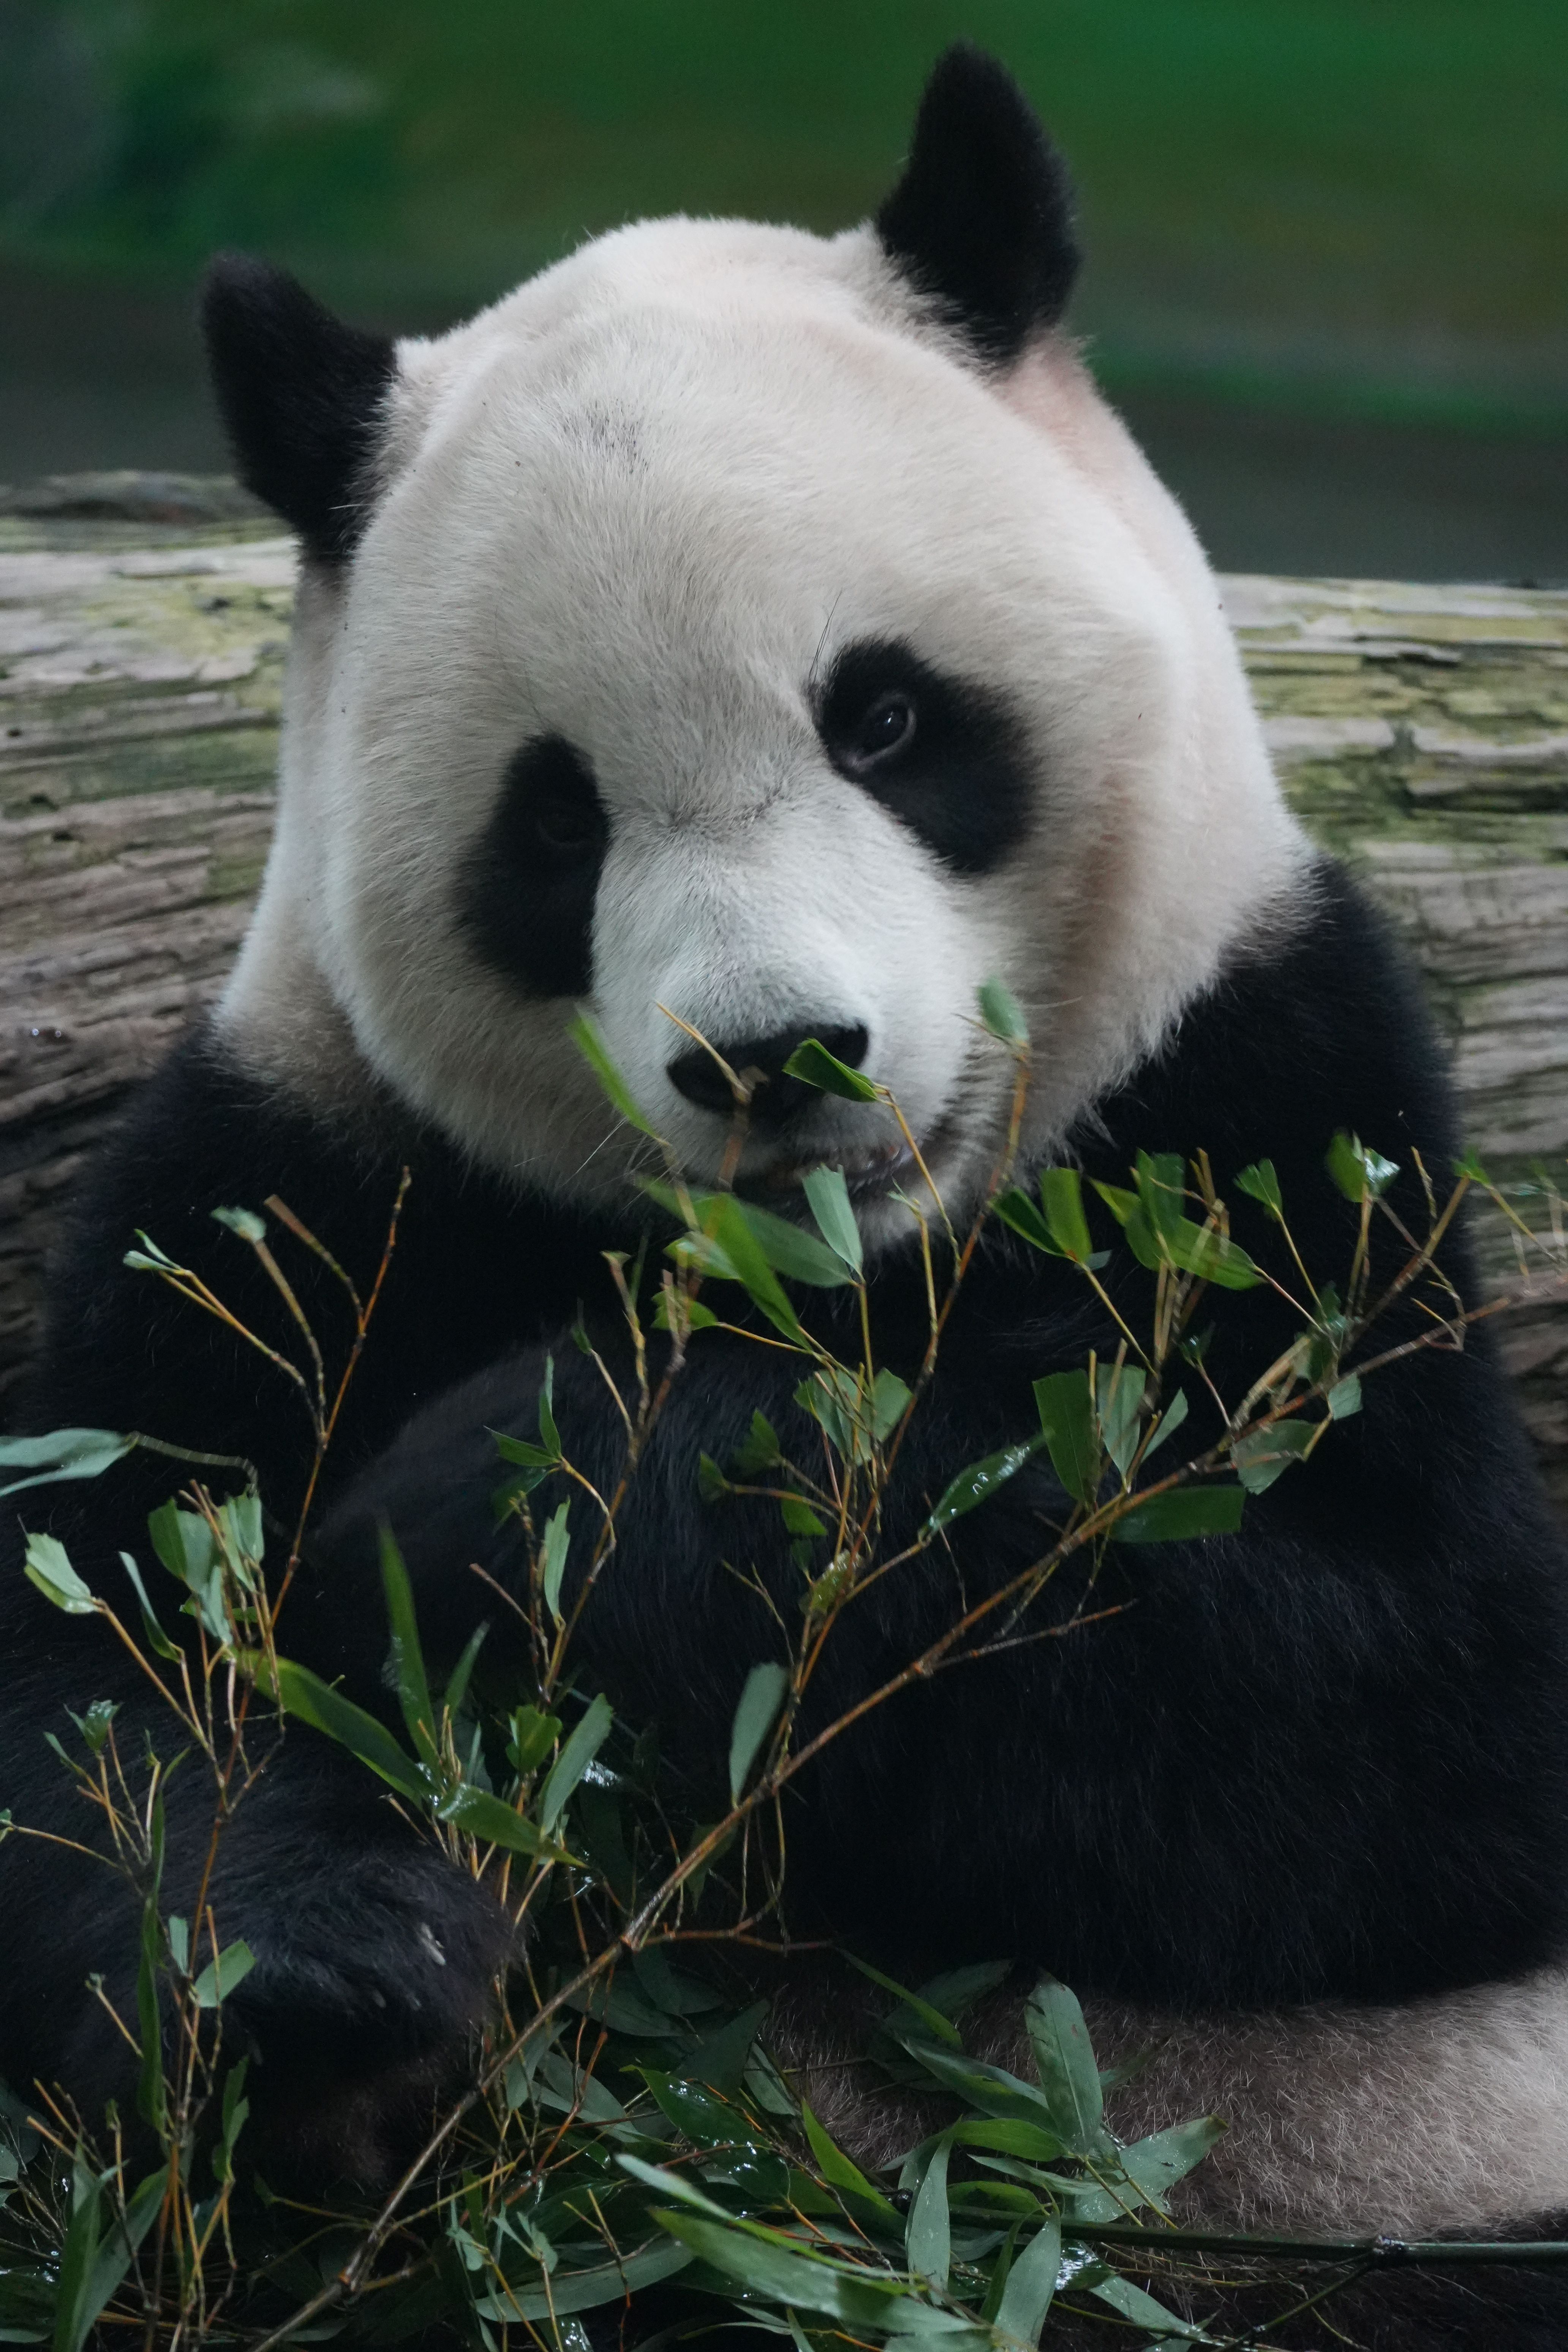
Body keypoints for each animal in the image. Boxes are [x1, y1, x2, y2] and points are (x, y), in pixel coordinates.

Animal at [4, 42, 1568, 2343]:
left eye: (889, 717)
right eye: (555, 823)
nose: (778, 1058)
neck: (843, 1274)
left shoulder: (1271, 1109)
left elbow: (1425, 1705)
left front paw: (501, 1501)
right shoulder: (290, 1181)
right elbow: (95, 1677)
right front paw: (338, 1992)